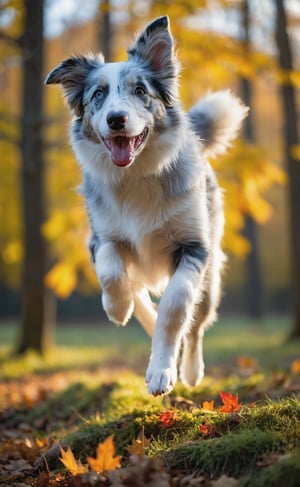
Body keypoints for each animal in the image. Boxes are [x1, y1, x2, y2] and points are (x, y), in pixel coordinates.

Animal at [45, 15, 247, 396]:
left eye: (140, 91)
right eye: (98, 95)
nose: (116, 119)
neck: (136, 175)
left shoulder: (194, 246)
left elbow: (176, 305)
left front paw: (162, 372)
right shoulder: (102, 238)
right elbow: (112, 274)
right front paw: (118, 309)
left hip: (212, 274)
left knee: (197, 323)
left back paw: (191, 370)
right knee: (136, 286)